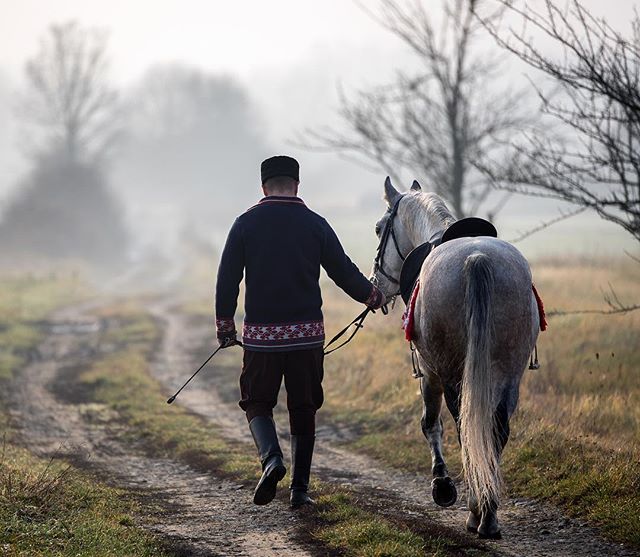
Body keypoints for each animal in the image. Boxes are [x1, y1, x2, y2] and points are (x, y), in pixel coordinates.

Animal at [370, 177, 540, 539]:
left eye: (379, 228)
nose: (375, 284)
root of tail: (477, 258)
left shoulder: (430, 372)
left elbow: (430, 424)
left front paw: (442, 485)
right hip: (509, 374)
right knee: (495, 430)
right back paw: (488, 512)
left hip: (451, 374)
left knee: (465, 429)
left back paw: (477, 512)